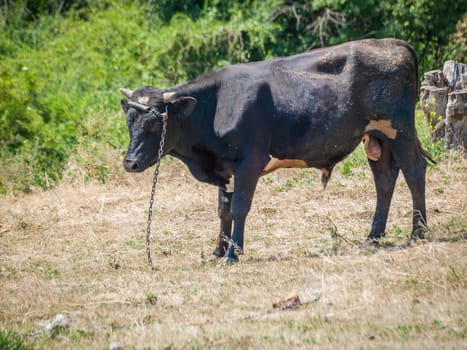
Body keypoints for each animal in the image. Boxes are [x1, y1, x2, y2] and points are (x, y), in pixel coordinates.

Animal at [121, 38, 436, 262]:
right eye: (129, 120)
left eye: (154, 123)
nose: (130, 163)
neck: (216, 106)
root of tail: (393, 43)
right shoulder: (225, 168)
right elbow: (223, 210)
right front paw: (217, 252)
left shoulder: (250, 161)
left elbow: (239, 207)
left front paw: (233, 254)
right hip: (376, 137)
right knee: (384, 178)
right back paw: (373, 235)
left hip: (399, 129)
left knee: (413, 171)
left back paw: (418, 232)